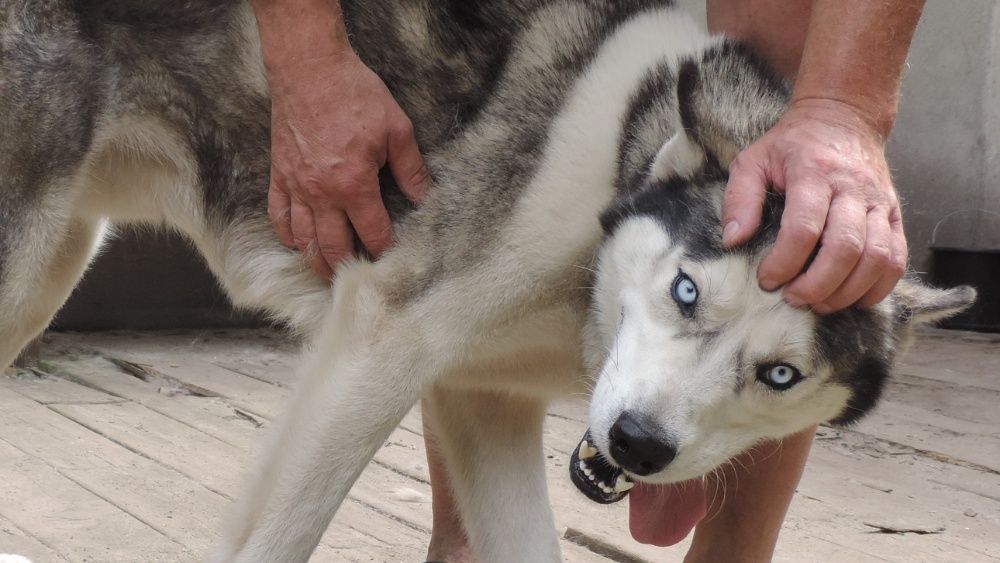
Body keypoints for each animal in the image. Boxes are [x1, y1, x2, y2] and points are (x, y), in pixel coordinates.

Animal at [0, 1, 968, 563]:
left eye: (780, 374)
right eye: (687, 291)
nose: (639, 445)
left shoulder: (481, 399)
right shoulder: (381, 343)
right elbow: (279, 533)